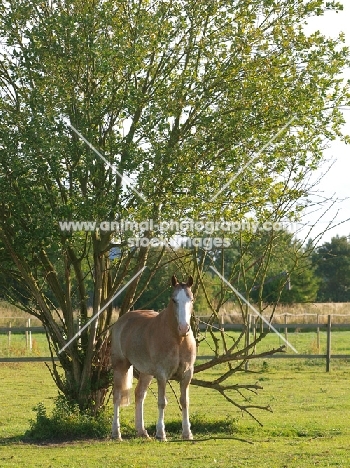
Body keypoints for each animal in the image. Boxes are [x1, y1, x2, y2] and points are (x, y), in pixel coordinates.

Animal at [110, 272, 196, 440]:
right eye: (174, 299)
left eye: (191, 299)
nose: (184, 328)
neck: (178, 339)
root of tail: (122, 320)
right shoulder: (162, 375)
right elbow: (162, 402)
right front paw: (161, 433)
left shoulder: (187, 374)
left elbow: (185, 402)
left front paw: (187, 433)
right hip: (120, 366)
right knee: (117, 396)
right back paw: (116, 433)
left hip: (146, 373)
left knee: (139, 394)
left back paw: (142, 431)